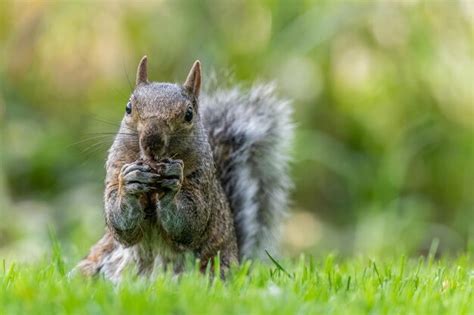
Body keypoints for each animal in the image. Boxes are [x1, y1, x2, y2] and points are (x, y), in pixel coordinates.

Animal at [74, 56, 292, 282]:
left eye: (189, 114)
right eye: (128, 107)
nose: (152, 141)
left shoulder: (201, 188)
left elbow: (189, 223)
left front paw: (172, 185)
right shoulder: (115, 170)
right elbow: (120, 224)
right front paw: (130, 182)